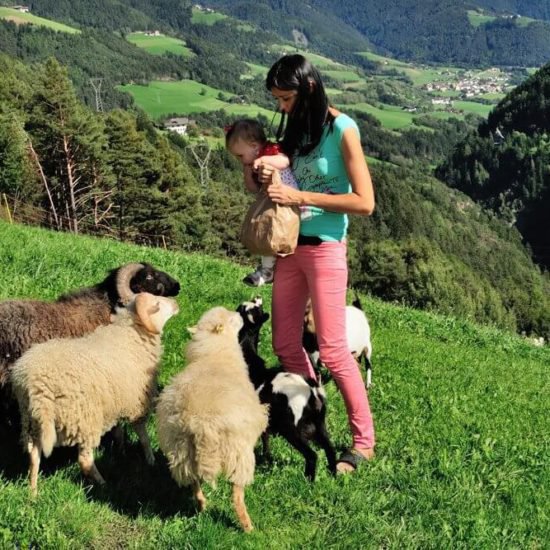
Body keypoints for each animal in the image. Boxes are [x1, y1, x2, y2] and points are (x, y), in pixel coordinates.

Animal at [10, 296, 179, 498]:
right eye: (157, 304)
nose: (176, 305)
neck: (131, 334)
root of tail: (36, 387)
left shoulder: (115, 401)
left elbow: (118, 430)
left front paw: (120, 451)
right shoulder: (138, 401)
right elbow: (143, 435)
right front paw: (151, 459)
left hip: (31, 421)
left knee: (34, 455)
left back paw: (33, 492)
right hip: (84, 420)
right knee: (84, 460)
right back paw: (102, 484)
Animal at [156, 308, 268, 532]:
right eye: (232, 320)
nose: (240, 314)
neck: (214, 355)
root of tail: (201, 424)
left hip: (182, 453)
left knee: (194, 482)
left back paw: (202, 505)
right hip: (239, 454)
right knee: (237, 495)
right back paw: (247, 527)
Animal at [236, 298, 336, 484]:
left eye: (250, 309)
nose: (257, 298)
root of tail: (312, 392)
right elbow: (265, 438)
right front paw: (266, 459)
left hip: (291, 427)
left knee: (312, 455)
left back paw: (308, 481)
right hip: (319, 425)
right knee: (330, 448)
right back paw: (334, 476)